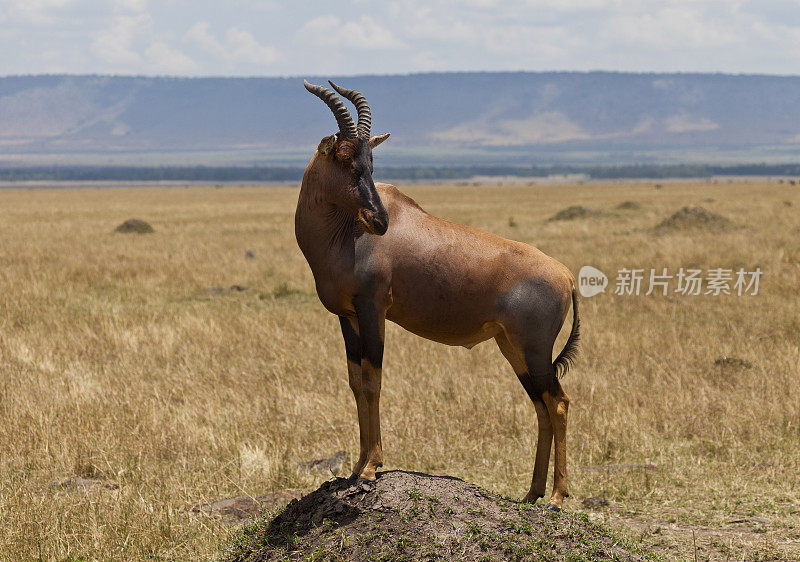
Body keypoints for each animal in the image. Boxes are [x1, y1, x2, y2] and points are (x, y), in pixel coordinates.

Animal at [296, 81, 580, 510]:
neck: (347, 234)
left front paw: (371, 467)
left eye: (371, 164)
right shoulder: (347, 317)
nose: (380, 221)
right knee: (541, 406)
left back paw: (558, 497)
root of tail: (565, 274)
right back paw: (531, 493)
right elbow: (355, 382)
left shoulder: (373, 309)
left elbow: (373, 380)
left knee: (558, 403)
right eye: (347, 158)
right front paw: (356, 467)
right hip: (513, 348)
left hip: (534, 349)